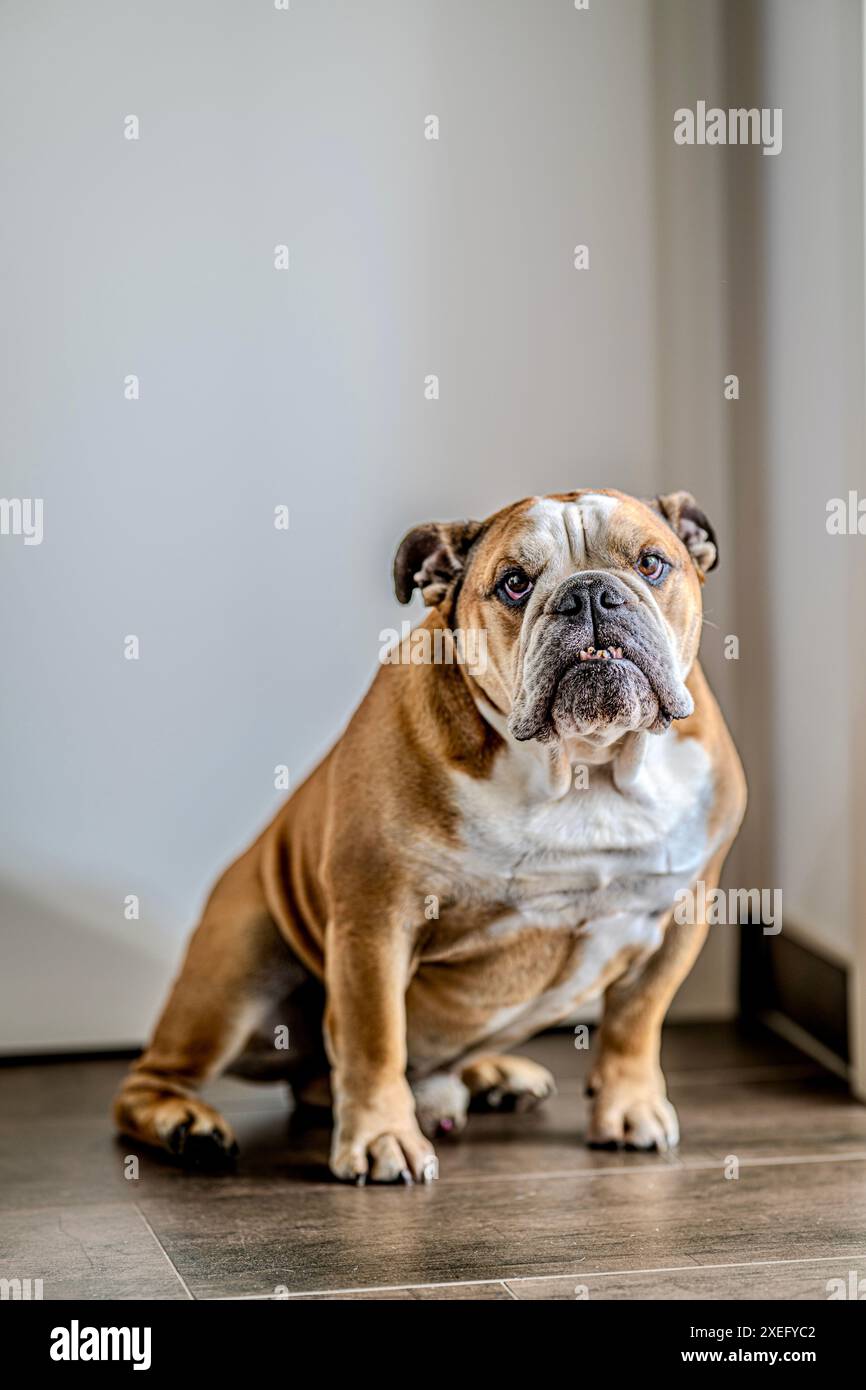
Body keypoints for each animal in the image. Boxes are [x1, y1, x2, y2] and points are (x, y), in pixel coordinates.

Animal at [113, 489, 745, 1184]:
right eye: (514, 584)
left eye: (652, 565)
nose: (588, 594)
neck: (584, 769)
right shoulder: (375, 920)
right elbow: (373, 1037)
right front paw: (381, 1139)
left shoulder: (681, 912)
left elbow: (636, 1021)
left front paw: (629, 1110)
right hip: (237, 972)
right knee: (152, 1079)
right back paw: (188, 1125)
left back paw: (490, 1076)